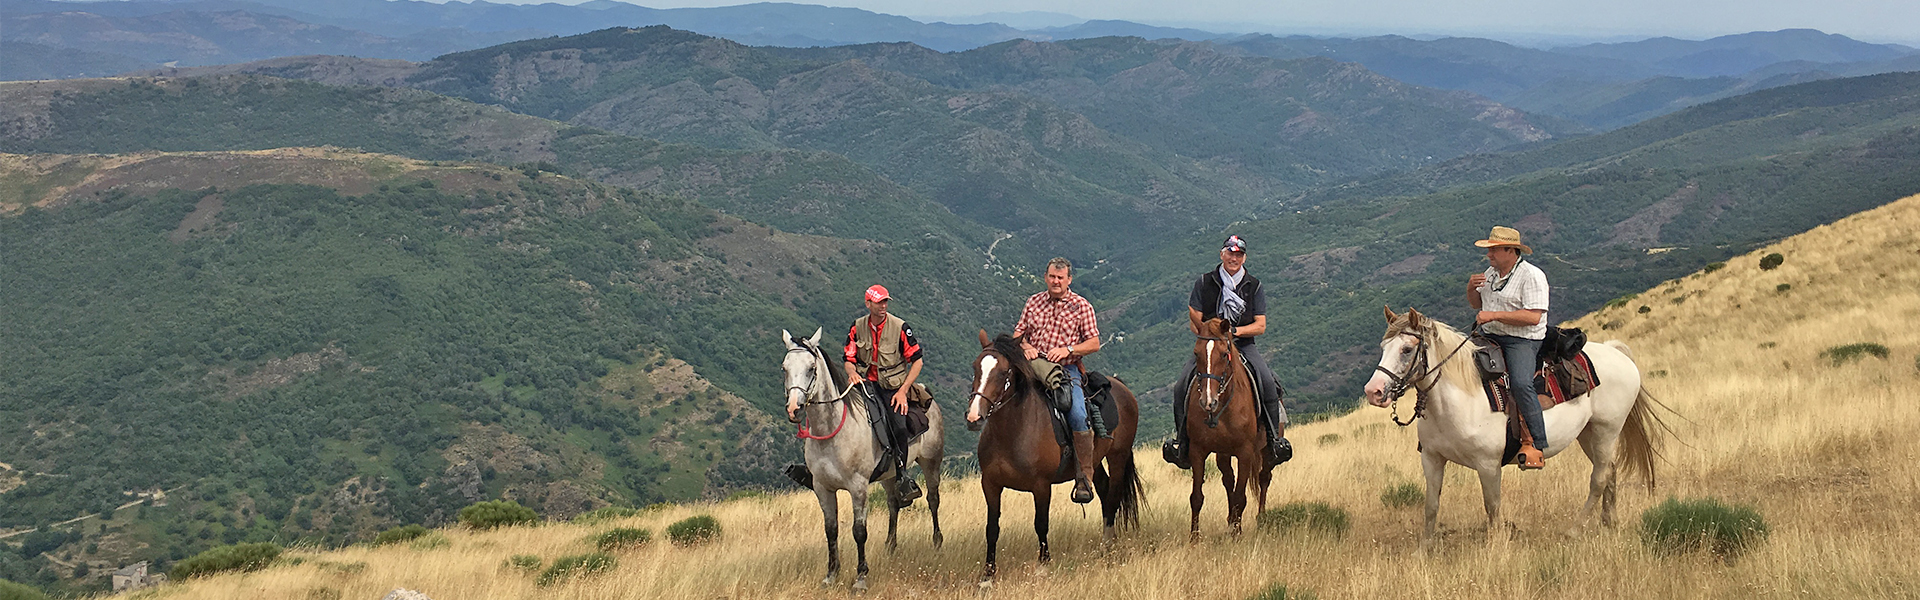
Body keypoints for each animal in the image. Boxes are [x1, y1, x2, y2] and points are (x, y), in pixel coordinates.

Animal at [779, 328, 944, 592]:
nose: (794, 408)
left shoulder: (858, 487)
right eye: (784, 367)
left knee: (933, 500)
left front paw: (861, 577)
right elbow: (831, 530)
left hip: (931, 463)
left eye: (811, 368)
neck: (833, 429)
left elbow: (859, 531)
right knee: (893, 504)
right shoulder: (822, 488)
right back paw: (890, 546)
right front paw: (831, 574)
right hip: (890, 475)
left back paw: (937, 542)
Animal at [960, 330, 1136, 588]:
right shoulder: (990, 484)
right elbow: (992, 528)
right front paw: (988, 575)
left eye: (1004, 372)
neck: (1013, 431)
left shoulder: (1041, 486)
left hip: (1118, 456)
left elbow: (1041, 524)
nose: (974, 417)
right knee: (1102, 490)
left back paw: (1108, 546)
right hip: (1093, 462)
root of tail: (1122, 387)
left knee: (1112, 497)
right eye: (975, 367)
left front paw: (1043, 565)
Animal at [1182, 319, 1274, 538]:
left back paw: (1260, 519)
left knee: (1264, 478)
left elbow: (1241, 496)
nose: (1208, 401)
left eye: (1224, 354)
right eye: (1196, 353)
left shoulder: (1245, 452)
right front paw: (1194, 538)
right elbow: (1196, 497)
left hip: (1266, 451)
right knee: (1228, 480)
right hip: (1223, 454)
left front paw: (1237, 535)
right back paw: (1231, 521)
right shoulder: (1197, 451)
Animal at [1367, 307, 1666, 546]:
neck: (1461, 398)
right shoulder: (1432, 458)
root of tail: (1617, 352)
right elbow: (1431, 505)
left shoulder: (1488, 464)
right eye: (1383, 348)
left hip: (1607, 430)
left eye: (1406, 350)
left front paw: (1495, 546)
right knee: (1610, 471)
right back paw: (1609, 521)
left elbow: (1492, 506)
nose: (1374, 392)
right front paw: (1424, 548)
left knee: (1599, 478)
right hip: (1588, 433)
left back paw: (1575, 529)